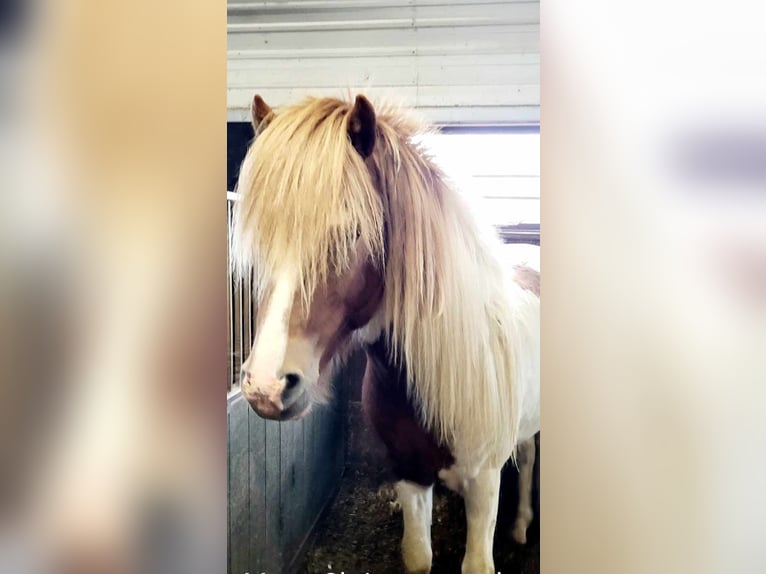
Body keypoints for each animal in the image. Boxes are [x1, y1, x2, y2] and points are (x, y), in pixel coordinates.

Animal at [232, 94, 540, 574]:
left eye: (353, 231)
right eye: (261, 238)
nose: (266, 387)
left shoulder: (485, 481)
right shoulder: (408, 473)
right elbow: (417, 556)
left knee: (526, 458)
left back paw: (522, 525)